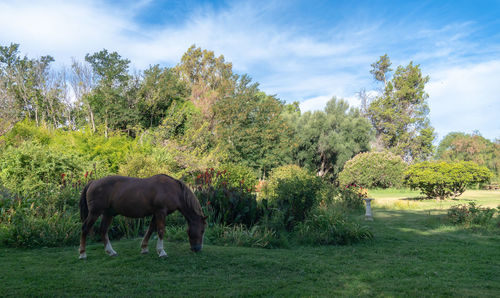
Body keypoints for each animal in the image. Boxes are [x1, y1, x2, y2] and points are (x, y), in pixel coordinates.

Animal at [77, 175, 205, 258]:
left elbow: (150, 230)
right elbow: (161, 231)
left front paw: (144, 248)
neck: (173, 190)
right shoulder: (161, 212)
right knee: (85, 229)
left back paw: (111, 251)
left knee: (103, 230)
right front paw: (162, 251)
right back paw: (82, 254)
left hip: (108, 214)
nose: (197, 249)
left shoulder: (155, 214)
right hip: (95, 213)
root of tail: (93, 182)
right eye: (202, 230)